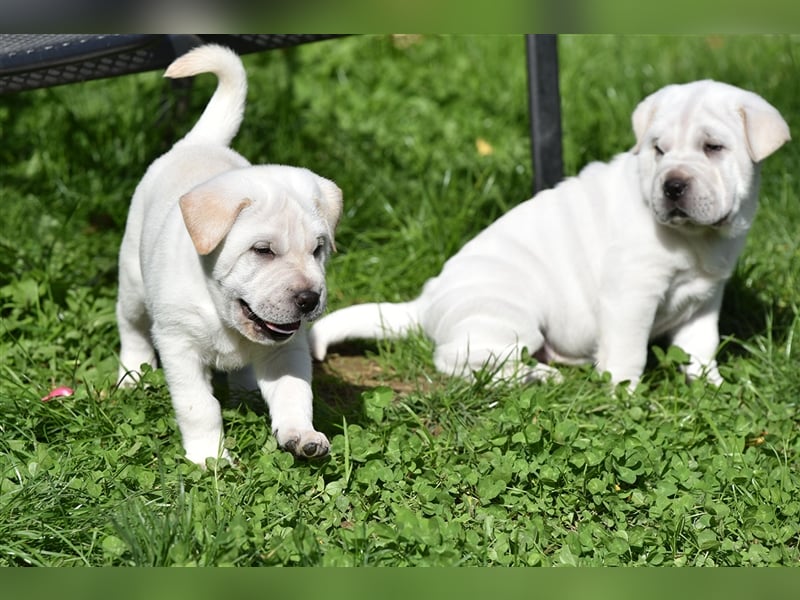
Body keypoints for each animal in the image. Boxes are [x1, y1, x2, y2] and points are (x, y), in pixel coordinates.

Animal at [115, 44, 340, 466]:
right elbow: (199, 407)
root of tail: (197, 143)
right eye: (262, 250)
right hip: (134, 284)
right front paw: (209, 458)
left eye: (318, 249)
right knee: (131, 326)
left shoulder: (287, 349)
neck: (222, 313)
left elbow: (294, 393)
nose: (309, 299)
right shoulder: (179, 345)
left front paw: (301, 435)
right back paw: (132, 374)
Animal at [310, 79, 788, 390]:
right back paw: (537, 376)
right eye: (658, 150)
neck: (698, 239)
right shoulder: (632, 295)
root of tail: (426, 302)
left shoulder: (706, 297)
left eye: (713, 148)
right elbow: (628, 353)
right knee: (461, 360)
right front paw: (625, 396)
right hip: (509, 318)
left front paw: (711, 385)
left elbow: (701, 346)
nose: (671, 185)